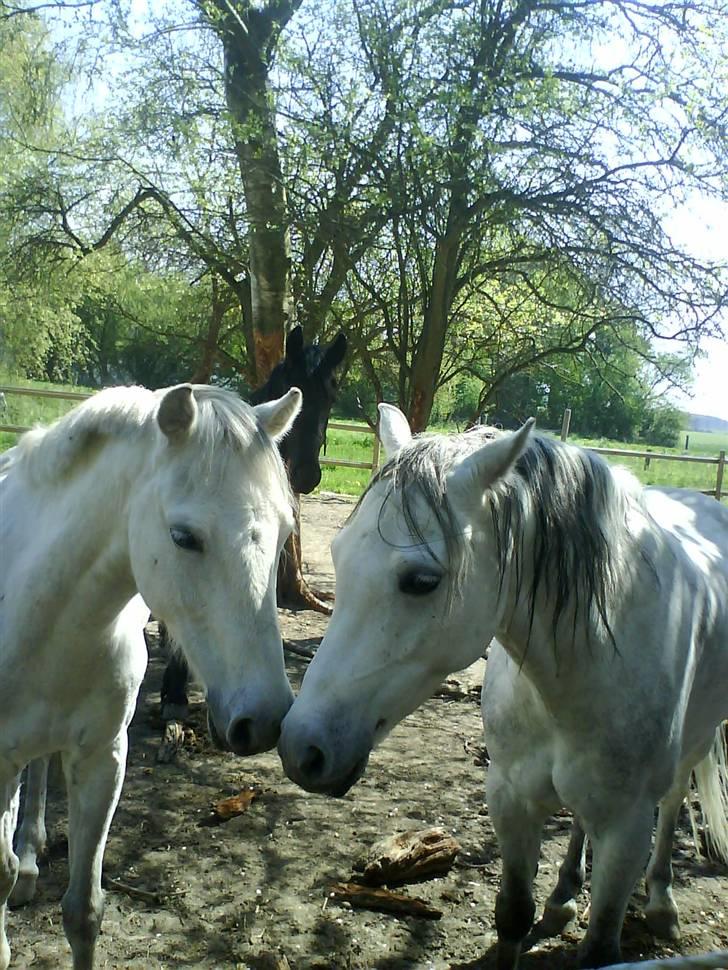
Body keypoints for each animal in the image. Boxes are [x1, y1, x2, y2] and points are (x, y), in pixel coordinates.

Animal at [0, 382, 301, 969]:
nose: (265, 718)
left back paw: (30, 855)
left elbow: (83, 911)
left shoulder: (102, 758)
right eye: (183, 537)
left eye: (284, 534)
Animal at [279, 403, 728, 969]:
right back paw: (562, 898)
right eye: (339, 556)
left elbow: (601, 942)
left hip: (693, 745)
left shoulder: (626, 829)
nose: (301, 749)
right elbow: (513, 913)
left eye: (422, 581)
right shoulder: (510, 797)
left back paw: (663, 904)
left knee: (672, 802)